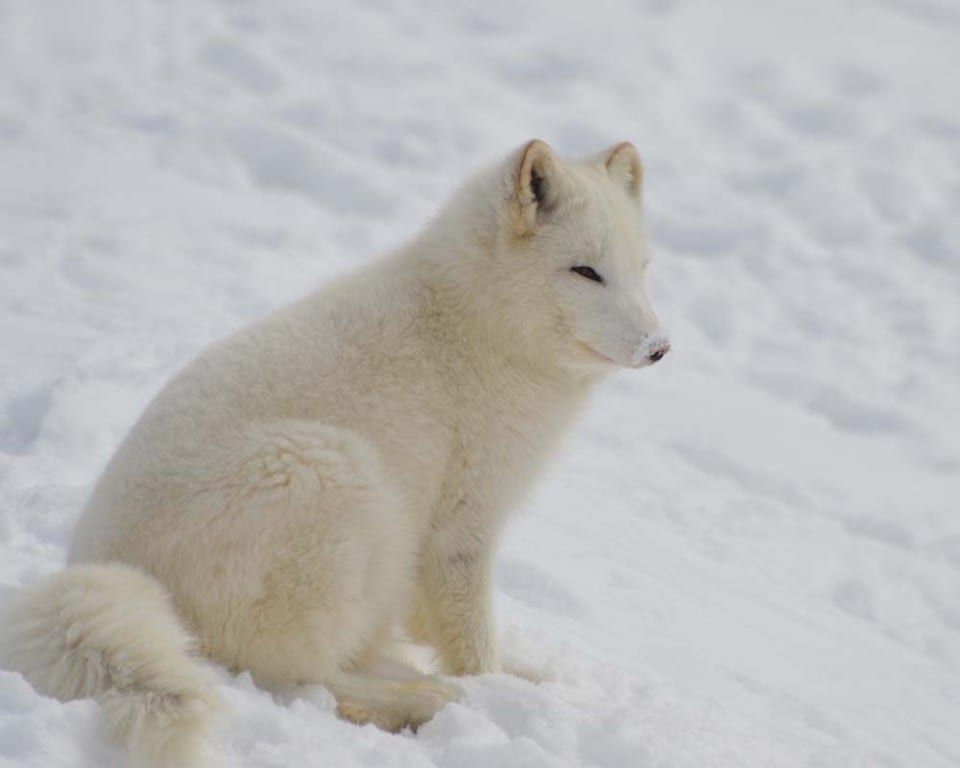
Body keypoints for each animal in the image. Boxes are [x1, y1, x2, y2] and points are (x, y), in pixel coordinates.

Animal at [1, 139, 669, 766]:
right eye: (585, 272)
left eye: (641, 269)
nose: (659, 348)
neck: (475, 322)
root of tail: (103, 565)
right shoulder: (463, 524)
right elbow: (471, 641)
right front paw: (496, 690)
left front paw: (526, 680)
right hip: (338, 478)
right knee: (300, 680)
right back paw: (423, 704)